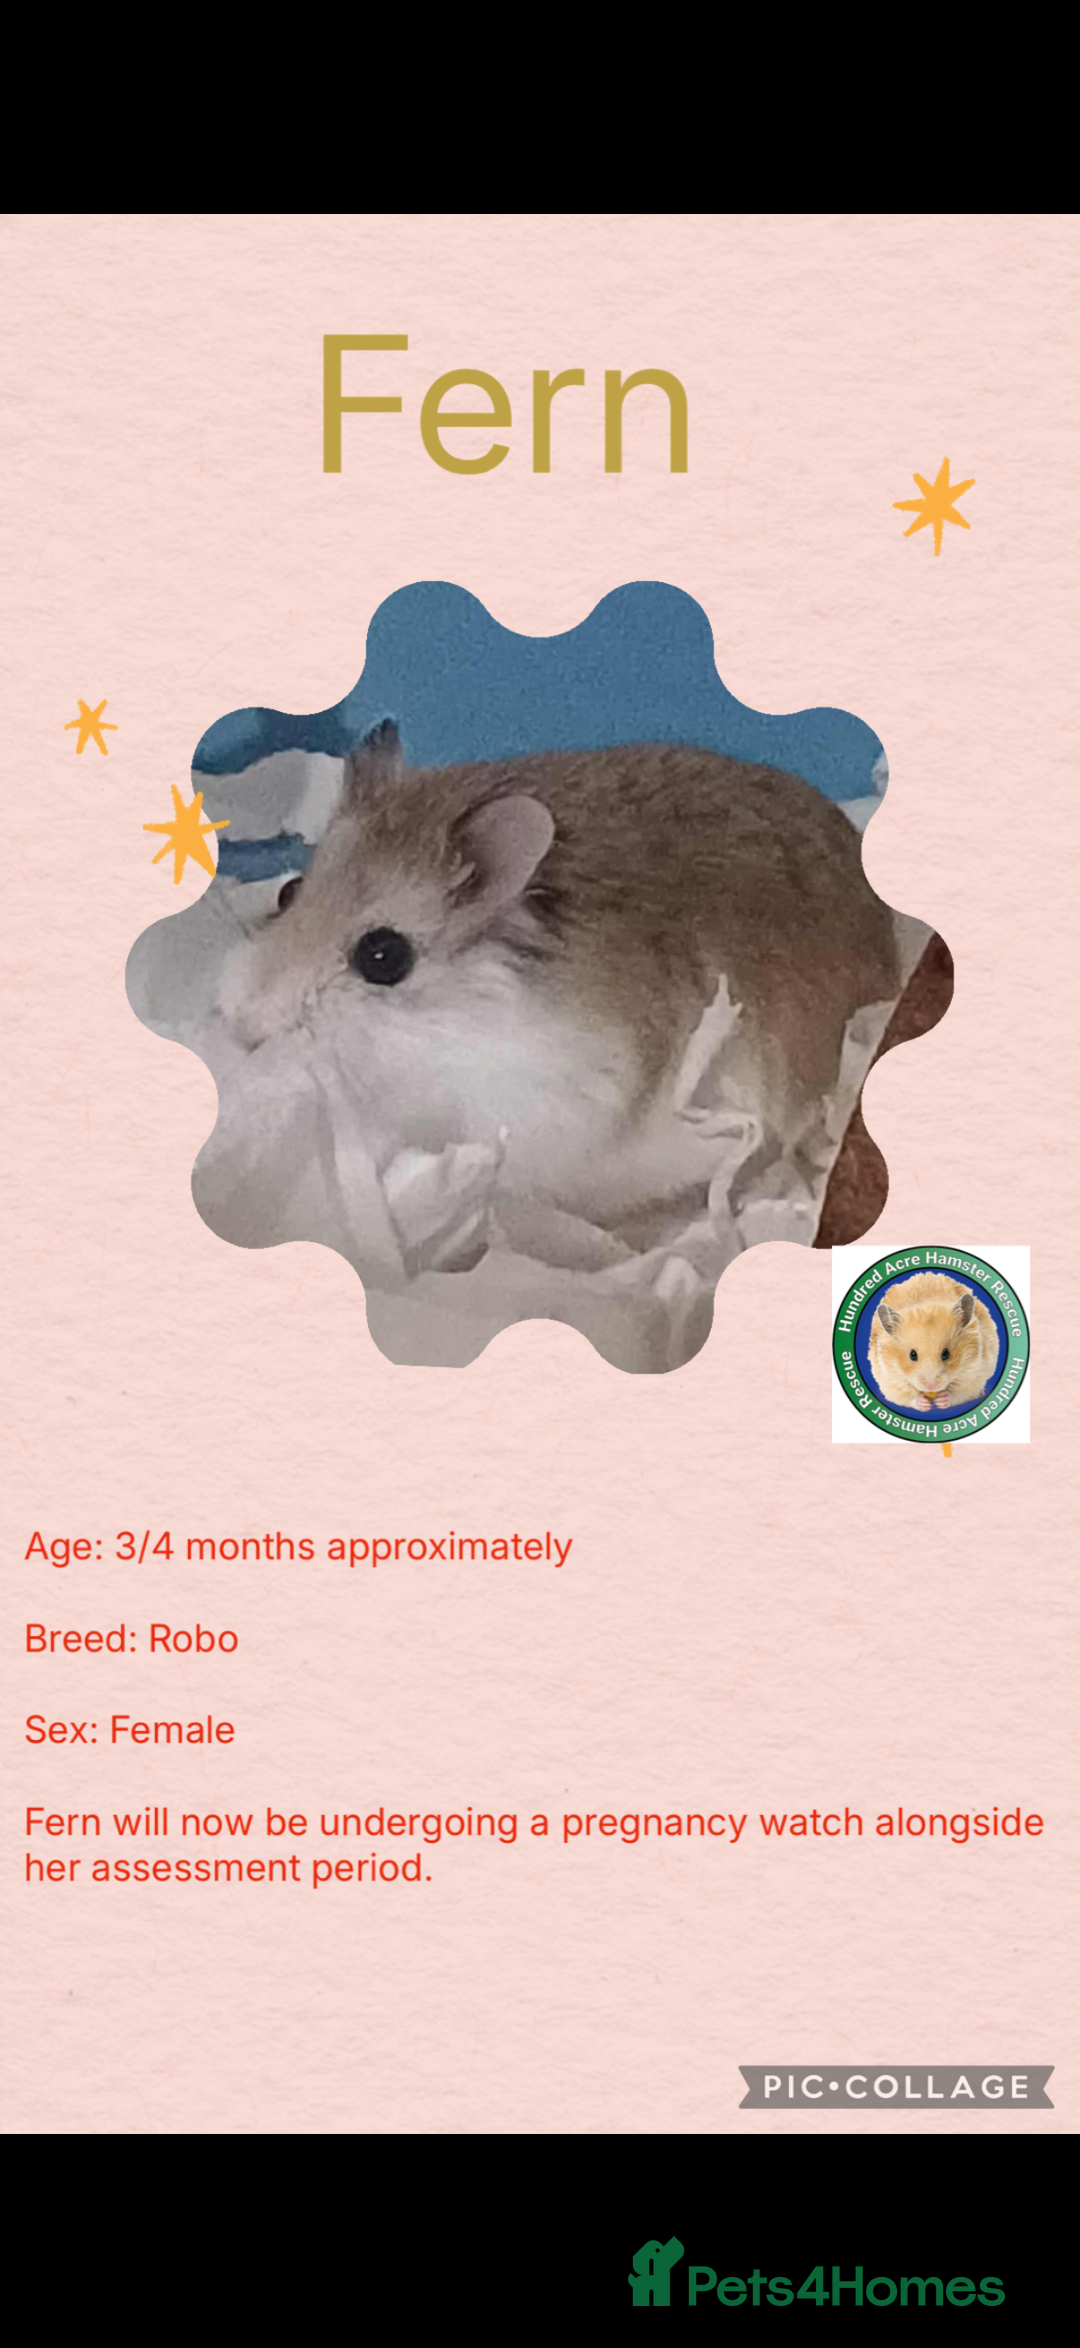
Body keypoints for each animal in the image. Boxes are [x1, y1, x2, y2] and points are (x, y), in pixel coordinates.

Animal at [869, 1272, 999, 1412]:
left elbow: (960, 1393)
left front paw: (942, 1399)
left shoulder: (975, 1373)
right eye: (912, 1355)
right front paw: (924, 1404)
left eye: (946, 1354)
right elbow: (906, 1397)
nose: (931, 1387)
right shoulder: (889, 1380)